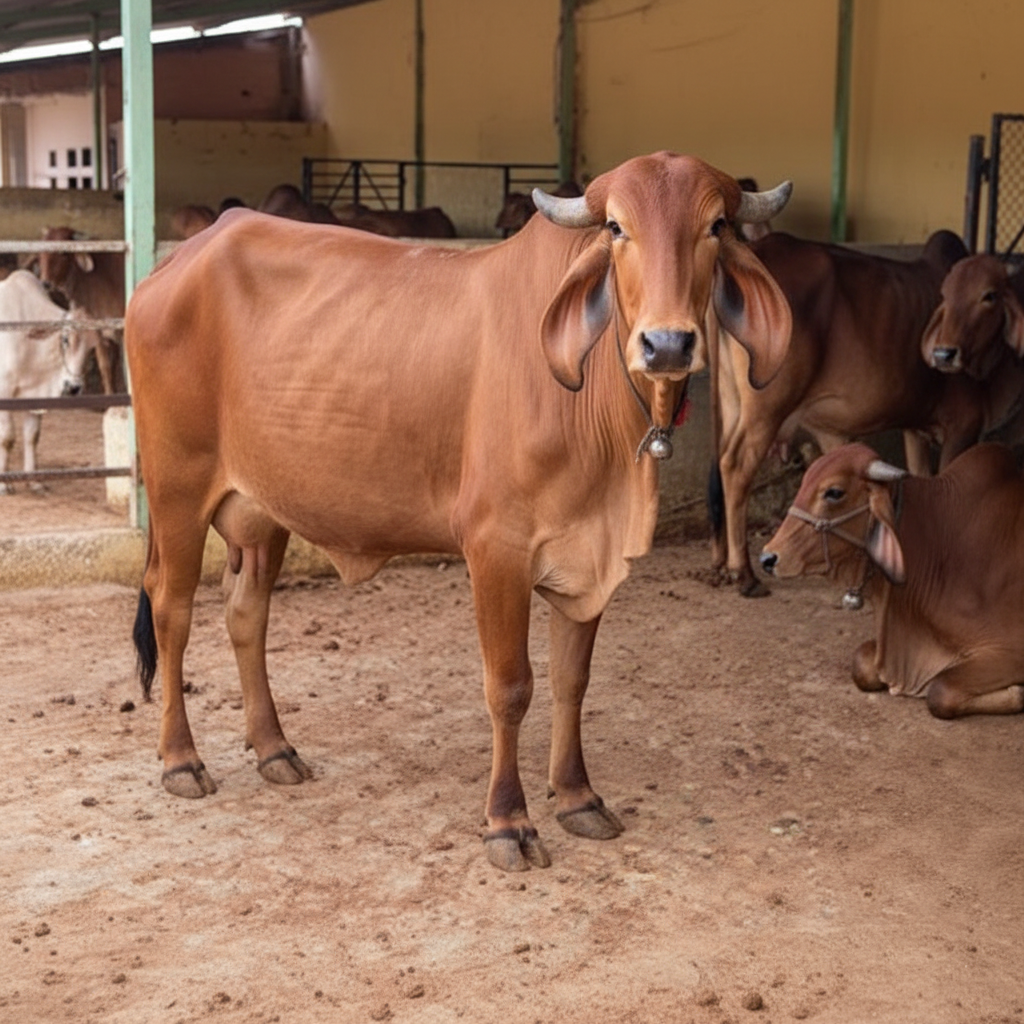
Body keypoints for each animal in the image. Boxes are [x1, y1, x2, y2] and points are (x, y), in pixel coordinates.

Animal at [0, 271, 92, 492]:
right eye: (66, 339)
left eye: (92, 348)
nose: (73, 387)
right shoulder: (4, 391)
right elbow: (7, 437)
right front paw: (4, 484)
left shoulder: (36, 398)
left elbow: (32, 436)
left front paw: (35, 481)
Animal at [126, 151, 793, 872]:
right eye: (617, 227)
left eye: (717, 225)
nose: (666, 344)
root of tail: (177, 261)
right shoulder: (496, 551)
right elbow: (510, 687)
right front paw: (508, 821)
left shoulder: (586, 555)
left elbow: (572, 680)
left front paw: (578, 797)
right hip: (178, 487)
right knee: (171, 609)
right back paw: (181, 760)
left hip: (262, 509)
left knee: (246, 613)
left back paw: (275, 747)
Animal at [709, 229, 973, 597]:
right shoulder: (963, 421)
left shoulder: (913, 426)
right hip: (765, 409)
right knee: (734, 466)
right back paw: (744, 573)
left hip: (731, 401)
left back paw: (720, 564)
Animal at [759, 442, 1024, 718]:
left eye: (834, 492)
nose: (767, 557)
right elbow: (861, 663)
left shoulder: (1011, 651)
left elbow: (940, 692)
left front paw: (1017, 693)